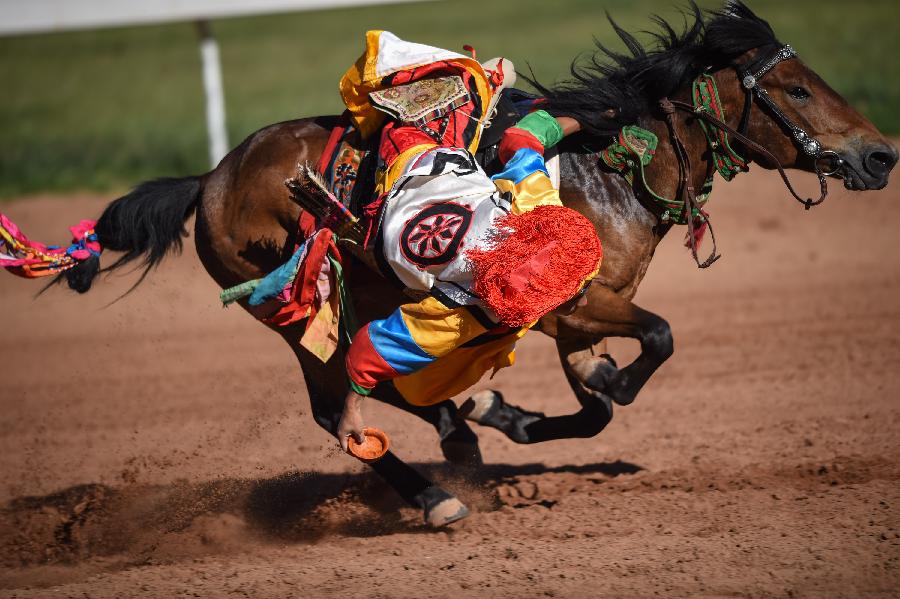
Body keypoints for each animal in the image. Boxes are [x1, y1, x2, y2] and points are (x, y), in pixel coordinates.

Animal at [58, 2, 892, 524]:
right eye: (795, 88)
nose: (880, 154)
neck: (606, 170)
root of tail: (210, 179)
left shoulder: (576, 322)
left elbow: (594, 407)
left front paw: (509, 413)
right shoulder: (575, 304)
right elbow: (655, 341)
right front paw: (575, 391)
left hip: (359, 300)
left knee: (380, 383)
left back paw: (460, 429)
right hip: (297, 315)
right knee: (340, 404)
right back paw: (435, 493)